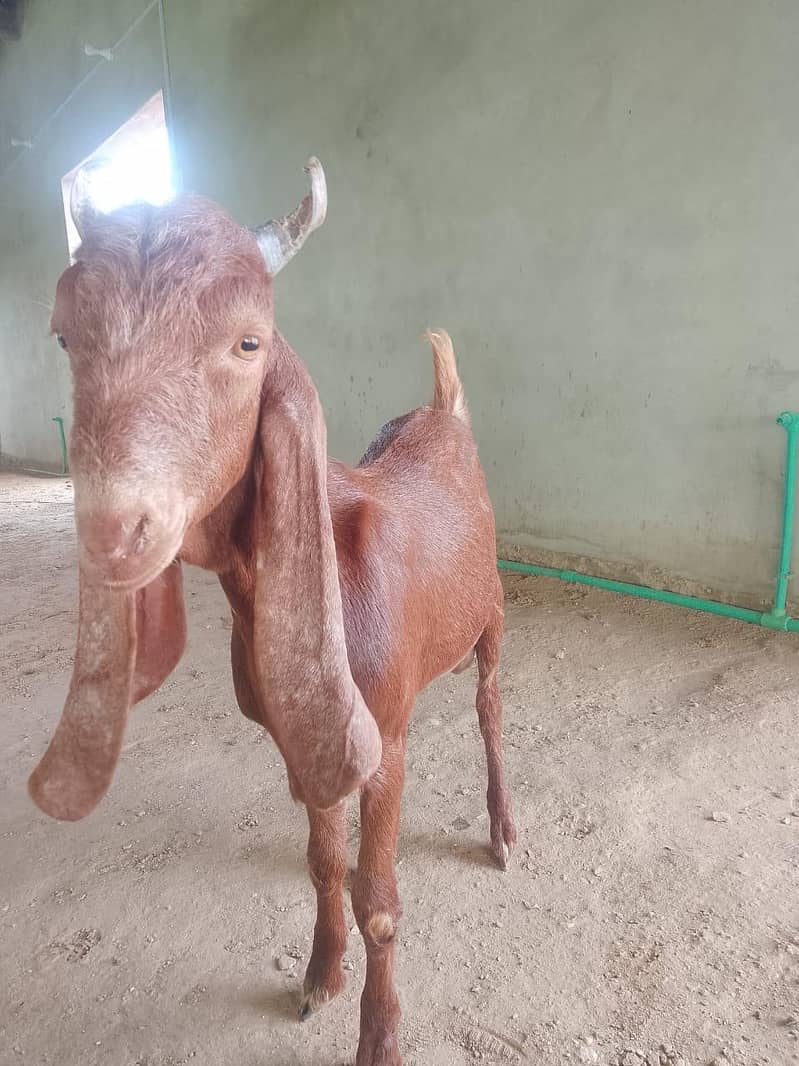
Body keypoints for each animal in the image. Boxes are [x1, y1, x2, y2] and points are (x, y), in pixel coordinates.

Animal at [29, 158, 517, 1066]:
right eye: (65, 337)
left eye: (248, 342)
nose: (115, 531)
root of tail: (443, 411)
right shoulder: (301, 736)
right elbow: (325, 864)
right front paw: (320, 975)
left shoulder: (383, 738)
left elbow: (379, 899)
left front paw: (380, 1037)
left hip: (494, 613)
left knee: (489, 707)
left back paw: (503, 828)